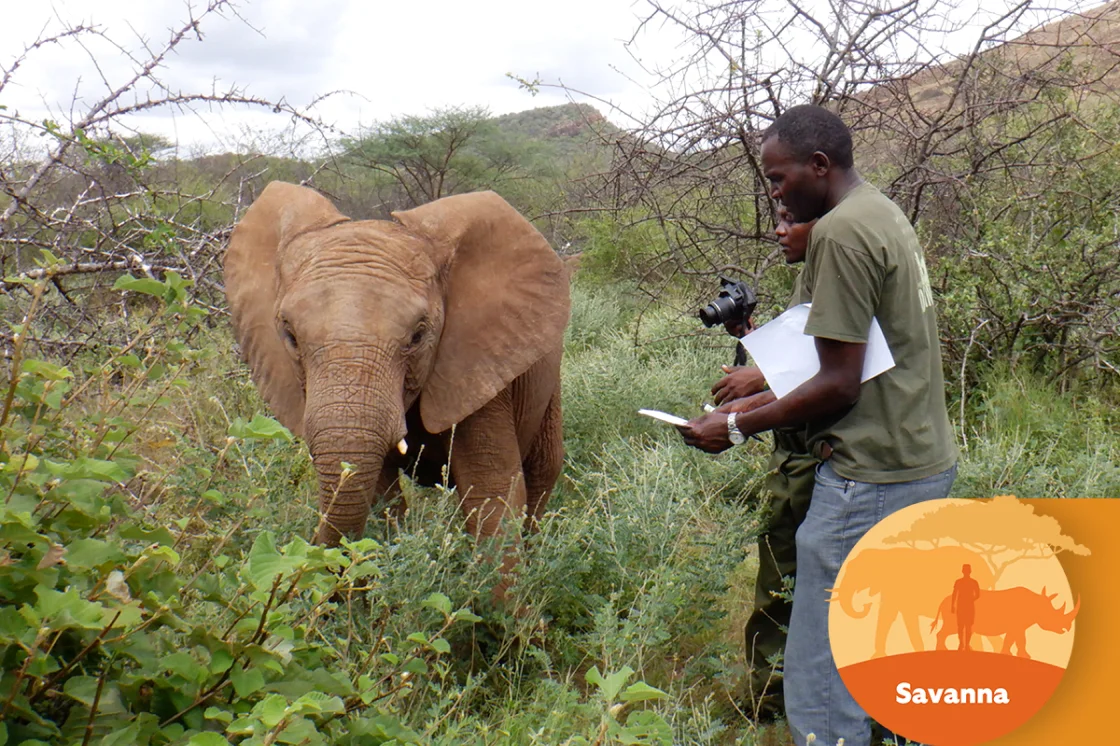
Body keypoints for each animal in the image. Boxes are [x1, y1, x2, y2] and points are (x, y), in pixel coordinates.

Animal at [223, 181, 570, 594]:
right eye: (289, 336)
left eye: (418, 336)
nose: (302, 563)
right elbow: (380, 496)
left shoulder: (479, 363)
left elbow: (493, 495)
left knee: (542, 472)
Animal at [829, 545, 996, 658]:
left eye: (858, 573)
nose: (866, 604)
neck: (883, 554)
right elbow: (887, 616)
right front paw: (877, 656)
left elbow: (903, 617)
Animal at [930, 586, 1080, 658]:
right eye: (1052, 616)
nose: (1067, 628)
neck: (1036, 605)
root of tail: (942, 601)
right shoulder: (1017, 625)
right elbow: (1019, 640)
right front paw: (1024, 656)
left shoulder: (1016, 626)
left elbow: (1013, 639)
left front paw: (1010, 654)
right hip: (953, 610)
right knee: (950, 629)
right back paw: (943, 650)